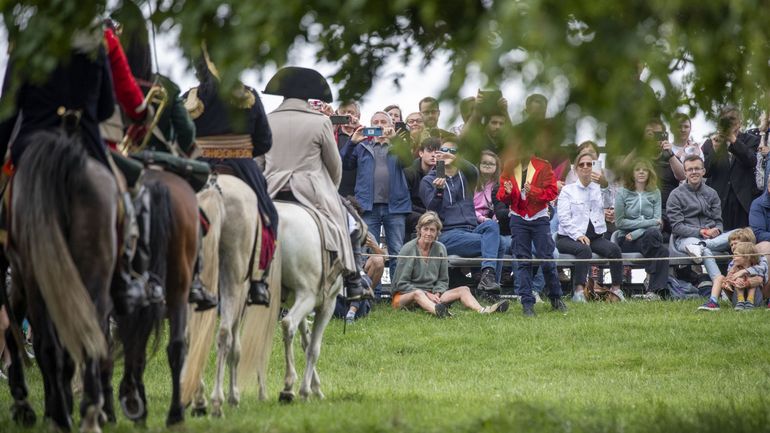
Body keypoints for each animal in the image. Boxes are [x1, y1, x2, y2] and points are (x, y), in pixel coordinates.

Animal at [181, 174, 282, 416]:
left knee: (190, 336)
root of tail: (214, 187)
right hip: (233, 283)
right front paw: (233, 396)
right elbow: (236, 348)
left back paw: (196, 398)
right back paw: (217, 402)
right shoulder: (241, 301)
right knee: (224, 334)